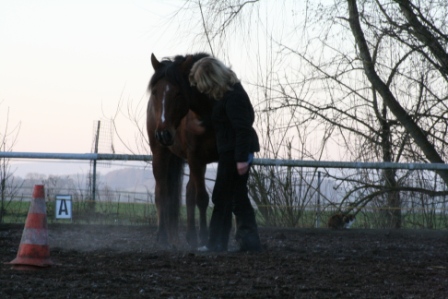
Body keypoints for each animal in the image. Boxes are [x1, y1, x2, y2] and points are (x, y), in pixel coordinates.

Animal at [146, 53, 218, 248]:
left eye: (179, 92)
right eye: (155, 92)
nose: (163, 133)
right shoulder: (195, 157)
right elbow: (202, 198)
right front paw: (204, 237)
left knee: (188, 192)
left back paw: (189, 236)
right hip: (161, 154)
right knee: (162, 193)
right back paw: (162, 236)